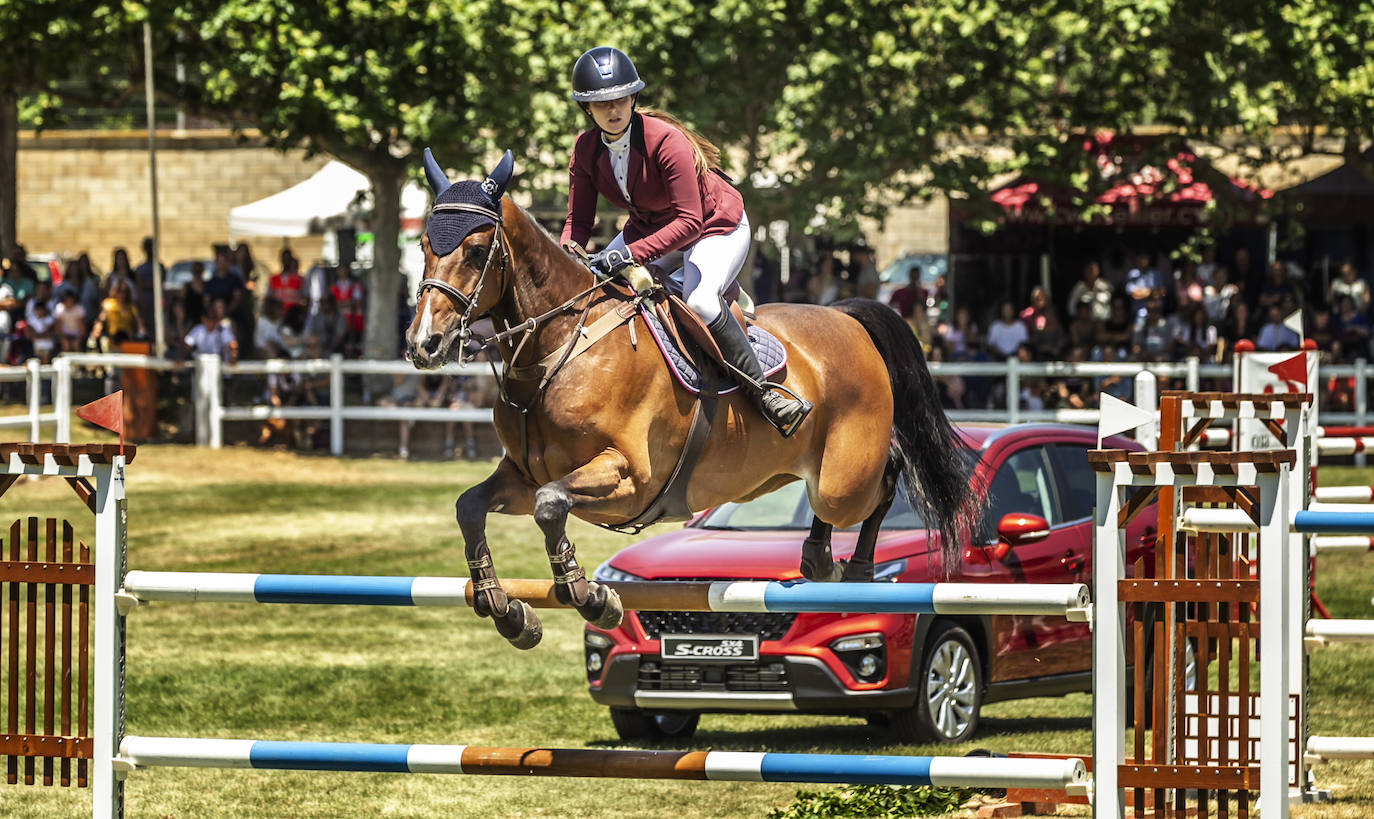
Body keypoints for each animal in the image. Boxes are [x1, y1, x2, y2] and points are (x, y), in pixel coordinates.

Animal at [401, 151, 983, 651]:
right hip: (803, 471)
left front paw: (591, 597)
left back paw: (857, 569)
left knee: (887, 474)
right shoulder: (523, 475)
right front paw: (507, 611)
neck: (560, 347)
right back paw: (819, 561)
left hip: (845, 479)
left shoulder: (629, 476)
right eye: (424, 246)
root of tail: (846, 316)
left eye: (476, 251)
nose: (424, 344)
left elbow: (551, 506)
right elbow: (472, 506)